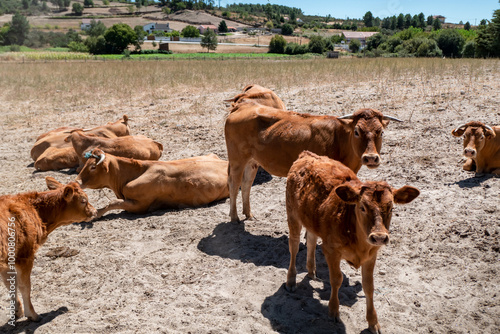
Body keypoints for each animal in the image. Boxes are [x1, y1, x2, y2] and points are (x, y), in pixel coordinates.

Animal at [0, 177, 96, 320]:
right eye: (83, 200)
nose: (94, 211)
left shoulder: (9, 259)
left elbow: (10, 283)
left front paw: (18, 311)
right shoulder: (25, 255)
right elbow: (25, 286)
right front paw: (32, 314)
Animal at [74, 149, 230, 218]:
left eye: (93, 167)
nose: (76, 181)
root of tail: (225, 162)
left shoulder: (140, 206)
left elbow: (112, 203)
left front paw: (96, 213)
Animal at [286, 152, 418, 334]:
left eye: (391, 207)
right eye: (362, 207)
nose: (379, 237)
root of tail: (307, 154)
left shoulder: (371, 256)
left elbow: (369, 286)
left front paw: (373, 322)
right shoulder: (331, 251)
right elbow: (336, 279)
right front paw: (333, 311)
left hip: (311, 219)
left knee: (311, 240)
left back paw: (311, 270)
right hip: (292, 215)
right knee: (293, 246)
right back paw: (291, 281)